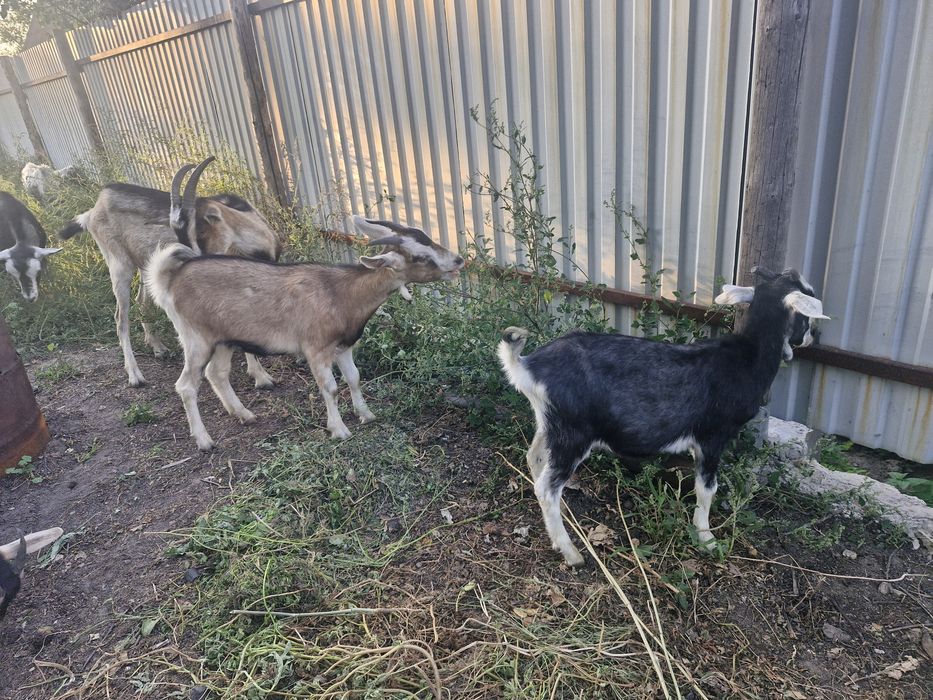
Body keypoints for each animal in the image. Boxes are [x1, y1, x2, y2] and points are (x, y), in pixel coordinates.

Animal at [58, 157, 280, 388]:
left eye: (201, 231)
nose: (193, 263)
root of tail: (93, 210)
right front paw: (261, 377)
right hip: (118, 264)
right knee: (120, 316)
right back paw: (134, 375)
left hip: (145, 265)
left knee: (142, 301)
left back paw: (158, 347)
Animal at [144, 163, 464, 451]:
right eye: (419, 257)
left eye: (427, 237)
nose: (458, 261)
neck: (341, 293)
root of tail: (170, 280)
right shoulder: (316, 349)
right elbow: (331, 387)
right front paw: (339, 429)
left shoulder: (344, 346)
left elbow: (354, 378)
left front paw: (366, 414)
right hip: (196, 339)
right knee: (186, 385)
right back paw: (204, 441)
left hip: (224, 340)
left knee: (216, 374)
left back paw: (245, 414)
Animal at [498, 269, 829, 566]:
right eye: (808, 301)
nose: (812, 338)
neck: (749, 355)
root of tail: (527, 365)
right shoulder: (713, 435)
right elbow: (706, 488)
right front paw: (706, 538)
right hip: (574, 433)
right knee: (547, 488)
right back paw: (571, 553)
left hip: (550, 424)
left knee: (534, 458)